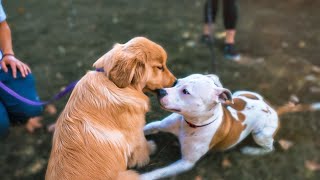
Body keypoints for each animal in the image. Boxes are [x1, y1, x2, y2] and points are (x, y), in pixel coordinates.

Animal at [45, 37, 175, 180]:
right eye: (160, 67)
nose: (175, 81)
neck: (113, 82)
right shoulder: (136, 133)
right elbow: (142, 147)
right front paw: (149, 149)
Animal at [142, 74, 280, 179]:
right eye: (176, 82)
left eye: (186, 91)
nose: (160, 91)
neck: (191, 124)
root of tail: (266, 104)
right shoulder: (157, 125)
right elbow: (143, 130)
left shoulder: (186, 163)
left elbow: (160, 172)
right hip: (240, 94)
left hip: (260, 135)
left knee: (270, 148)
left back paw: (250, 151)